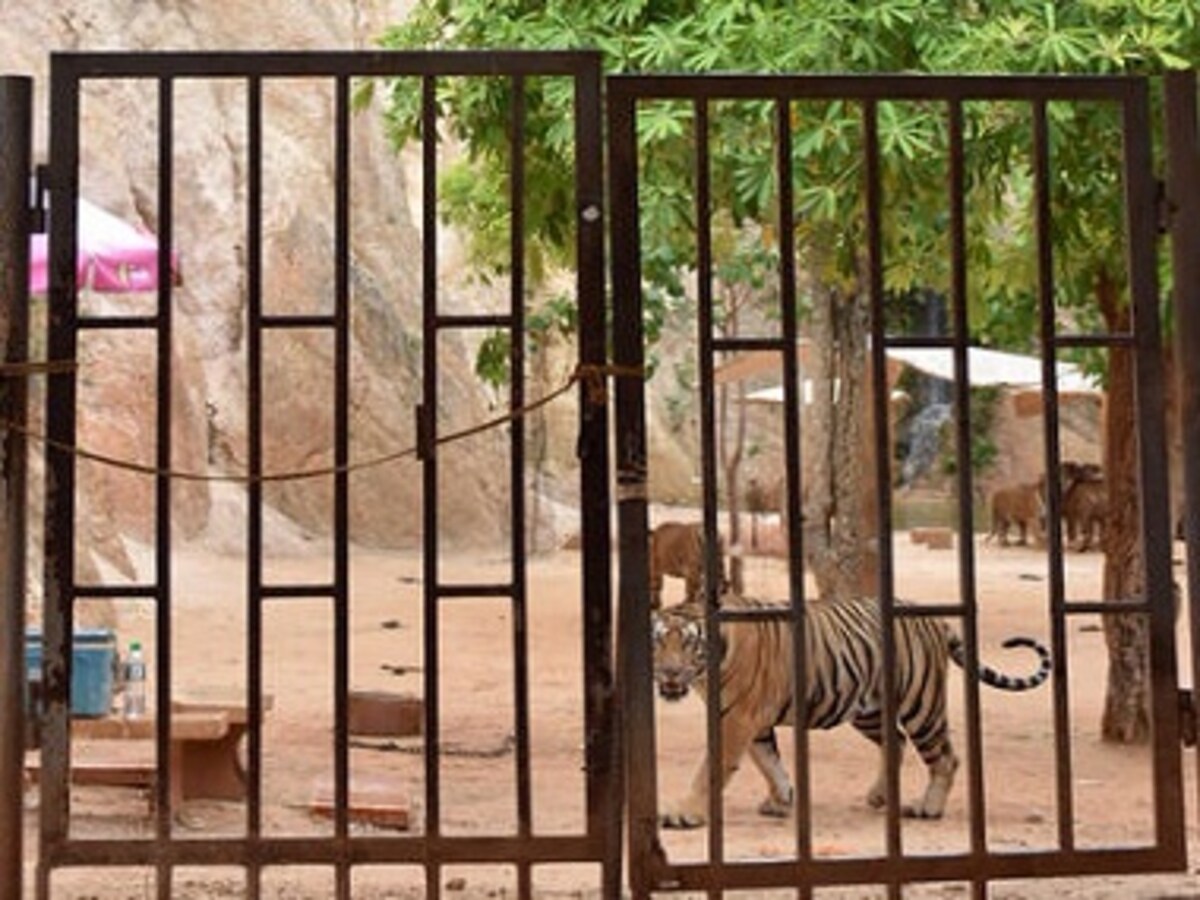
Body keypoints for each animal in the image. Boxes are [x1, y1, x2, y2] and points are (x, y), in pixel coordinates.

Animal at [652, 592, 1056, 830]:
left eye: (687, 644)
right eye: (658, 642)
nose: (668, 672)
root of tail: (935, 617)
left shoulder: (737, 718)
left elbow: (712, 768)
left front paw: (685, 812)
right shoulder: (750, 720)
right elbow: (768, 761)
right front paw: (782, 800)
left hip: (921, 705)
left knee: (945, 757)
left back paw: (928, 808)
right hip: (868, 709)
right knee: (896, 741)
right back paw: (880, 795)